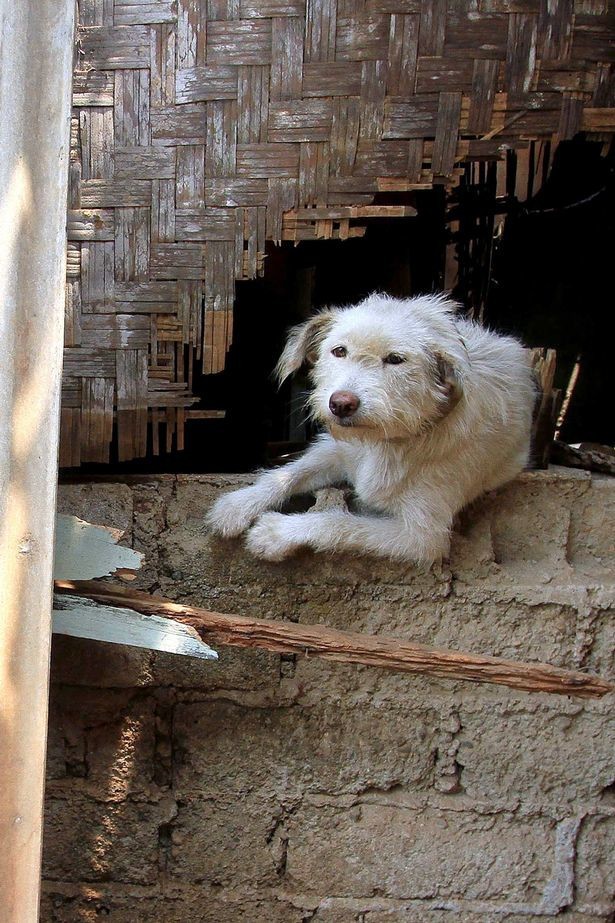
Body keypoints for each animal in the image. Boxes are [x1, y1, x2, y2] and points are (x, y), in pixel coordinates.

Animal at [207, 296, 536, 564]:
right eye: (339, 351)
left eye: (395, 359)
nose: (340, 404)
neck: (388, 440)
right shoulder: (339, 451)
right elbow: (290, 472)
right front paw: (238, 504)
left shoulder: (422, 537)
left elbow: (339, 523)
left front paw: (275, 532)